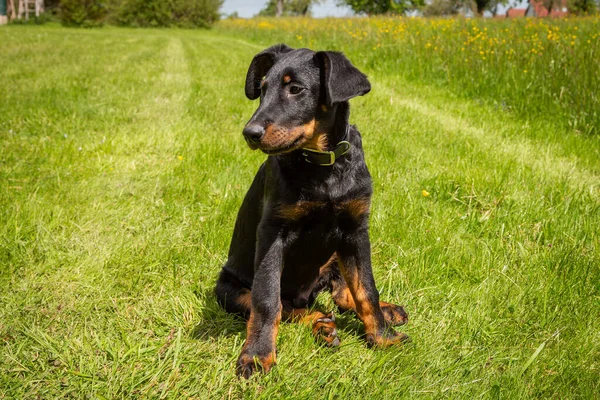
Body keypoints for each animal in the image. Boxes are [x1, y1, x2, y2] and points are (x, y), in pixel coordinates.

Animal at [214, 43, 408, 378]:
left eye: (296, 89)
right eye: (262, 89)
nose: (249, 133)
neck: (323, 167)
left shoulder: (356, 230)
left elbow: (366, 288)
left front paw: (383, 338)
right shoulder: (272, 232)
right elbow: (267, 300)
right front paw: (257, 356)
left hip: (334, 256)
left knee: (342, 294)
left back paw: (385, 312)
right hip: (228, 290)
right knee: (292, 307)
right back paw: (323, 325)